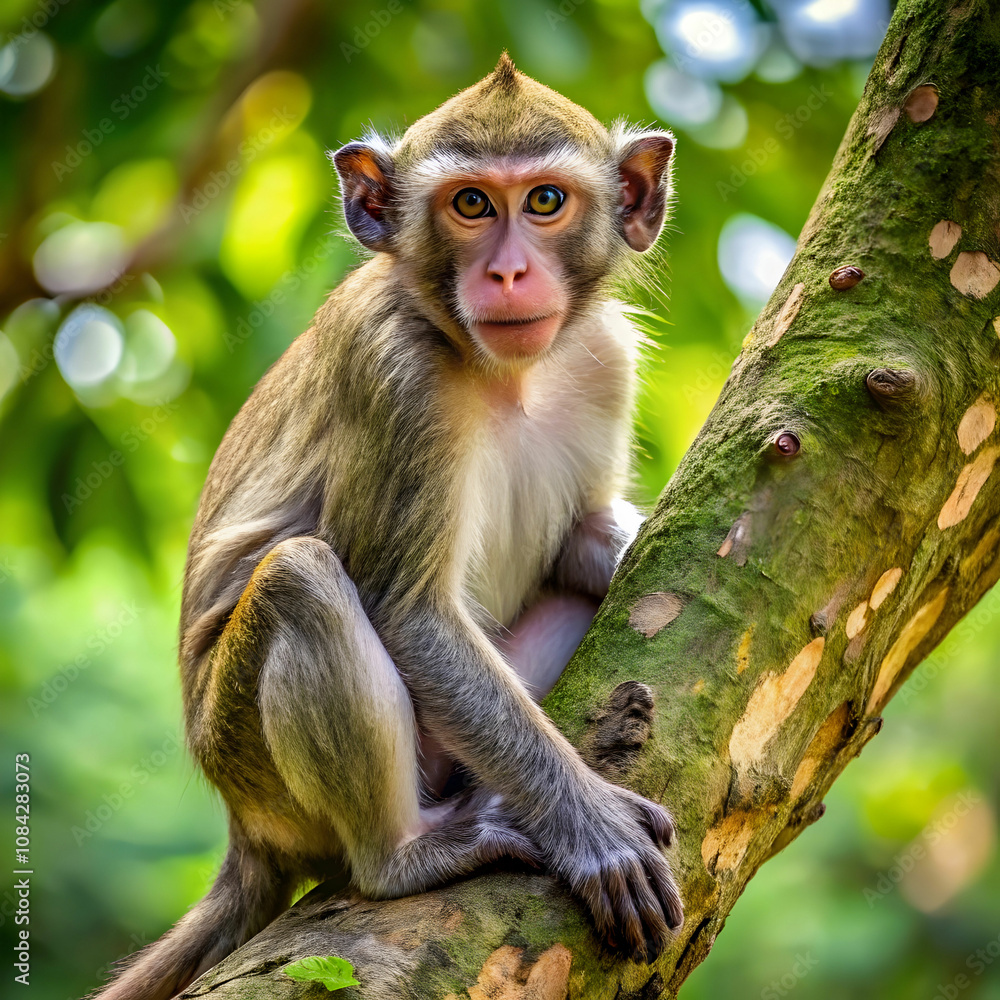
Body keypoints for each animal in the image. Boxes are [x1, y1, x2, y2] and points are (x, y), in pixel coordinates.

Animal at [94, 54, 681, 1000]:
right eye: (471, 204)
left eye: (545, 201)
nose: (508, 274)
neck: (497, 367)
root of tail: (242, 828)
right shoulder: (392, 373)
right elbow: (406, 610)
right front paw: (595, 833)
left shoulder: (604, 358)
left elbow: (581, 543)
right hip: (251, 764)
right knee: (299, 580)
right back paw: (401, 858)